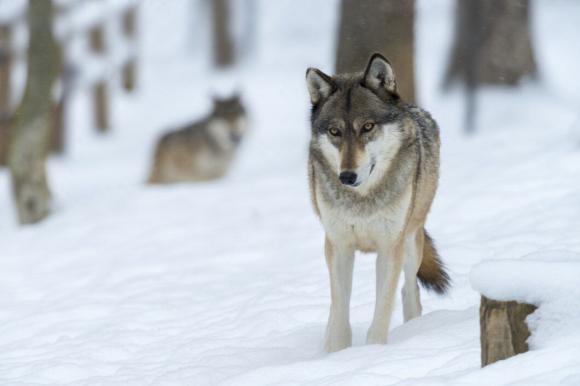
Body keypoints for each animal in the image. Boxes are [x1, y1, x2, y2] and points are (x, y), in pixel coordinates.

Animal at [306, 52, 450, 352]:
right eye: (335, 131)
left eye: (368, 127)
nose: (347, 176)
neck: (362, 201)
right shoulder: (339, 246)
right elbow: (340, 311)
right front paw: (336, 354)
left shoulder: (389, 247)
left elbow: (382, 310)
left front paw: (373, 353)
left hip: (411, 241)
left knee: (409, 290)